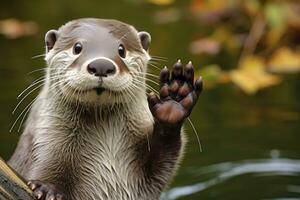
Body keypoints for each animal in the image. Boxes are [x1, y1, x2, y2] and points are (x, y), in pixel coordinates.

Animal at [8, 18, 203, 199]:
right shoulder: (47, 141)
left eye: (121, 50)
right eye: (77, 47)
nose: (101, 65)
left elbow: (161, 166)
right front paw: (48, 189)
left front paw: (174, 98)